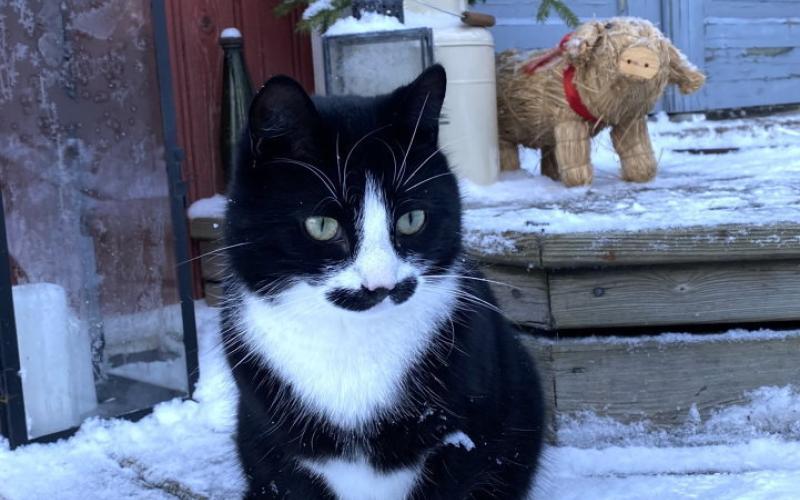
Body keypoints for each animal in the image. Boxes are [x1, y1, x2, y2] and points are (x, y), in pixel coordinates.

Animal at [219, 66, 544, 500]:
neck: (353, 345)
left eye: (411, 219)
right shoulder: (280, 458)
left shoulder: (464, 440)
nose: (382, 286)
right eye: (322, 226)